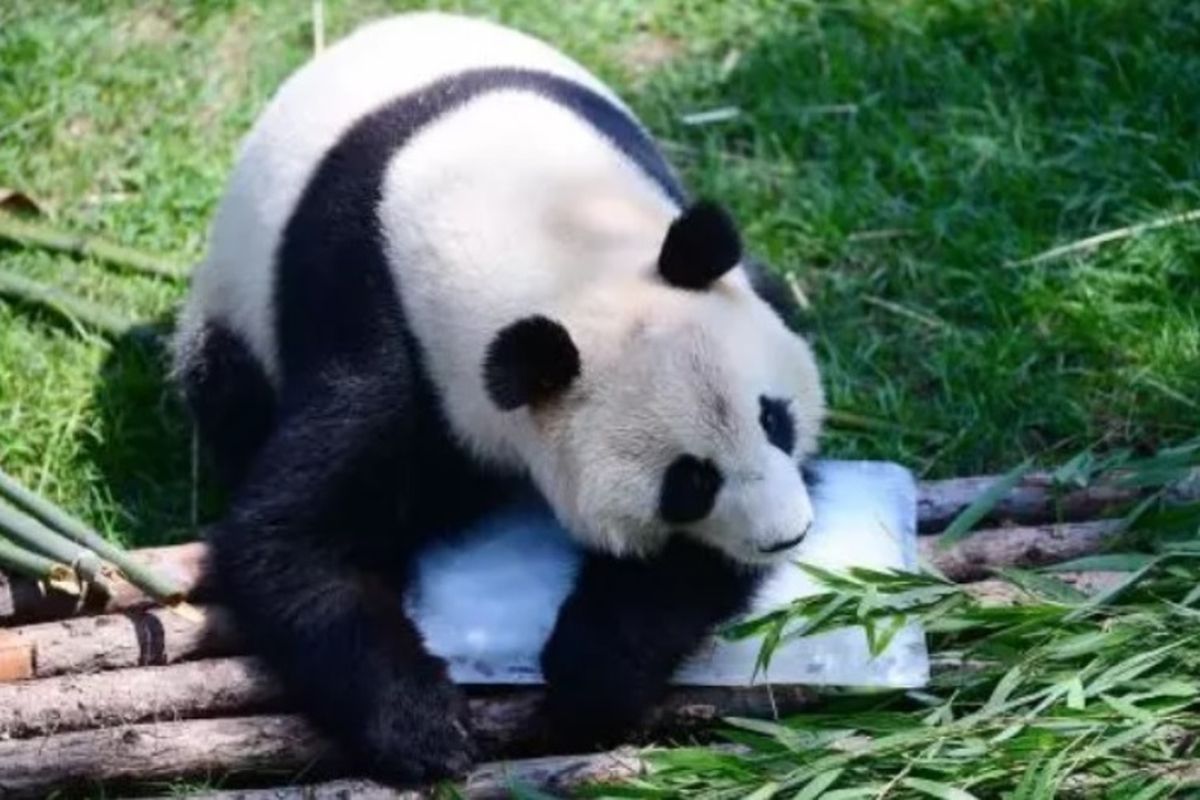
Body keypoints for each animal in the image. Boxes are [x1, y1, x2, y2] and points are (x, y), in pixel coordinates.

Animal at [171, 10, 825, 786]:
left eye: (775, 419)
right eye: (689, 482)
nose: (787, 533)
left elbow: (693, 566)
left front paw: (594, 673)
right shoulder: (374, 317)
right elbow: (290, 542)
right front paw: (425, 726)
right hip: (231, 312)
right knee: (223, 386)